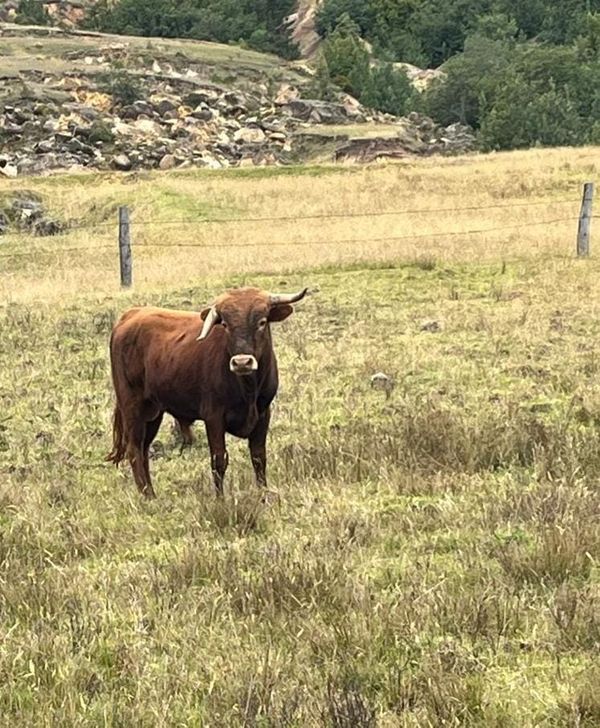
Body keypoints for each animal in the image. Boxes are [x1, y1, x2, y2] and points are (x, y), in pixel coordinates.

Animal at [107, 287, 310, 498]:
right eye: (226, 325)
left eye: (262, 322)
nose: (242, 362)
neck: (248, 389)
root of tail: (131, 315)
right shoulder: (213, 417)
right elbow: (219, 460)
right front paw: (220, 499)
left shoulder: (263, 414)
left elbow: (258, 457)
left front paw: (263, 494)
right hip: (132, 407)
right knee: (134, 450)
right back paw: (147, 496)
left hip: (154, 412)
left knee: (144, 449)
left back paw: (152, 494)